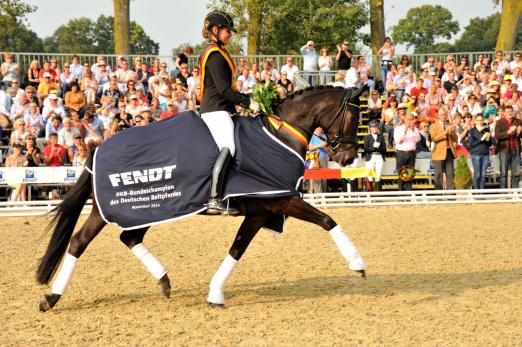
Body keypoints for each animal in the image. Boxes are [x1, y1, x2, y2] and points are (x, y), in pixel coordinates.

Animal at [36, 85, 368, 312]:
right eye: (354, 116)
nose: (347, 157)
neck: (280, 136)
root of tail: (99, 148)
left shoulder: (259, 212)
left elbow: (237, 249)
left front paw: (215, 293)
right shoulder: (281, 200)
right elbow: (327, 220)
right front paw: (358, 263)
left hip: (149, 209)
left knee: (128, 238)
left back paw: (163, 282)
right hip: (115, 210)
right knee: (79, 242)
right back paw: (51, 298)